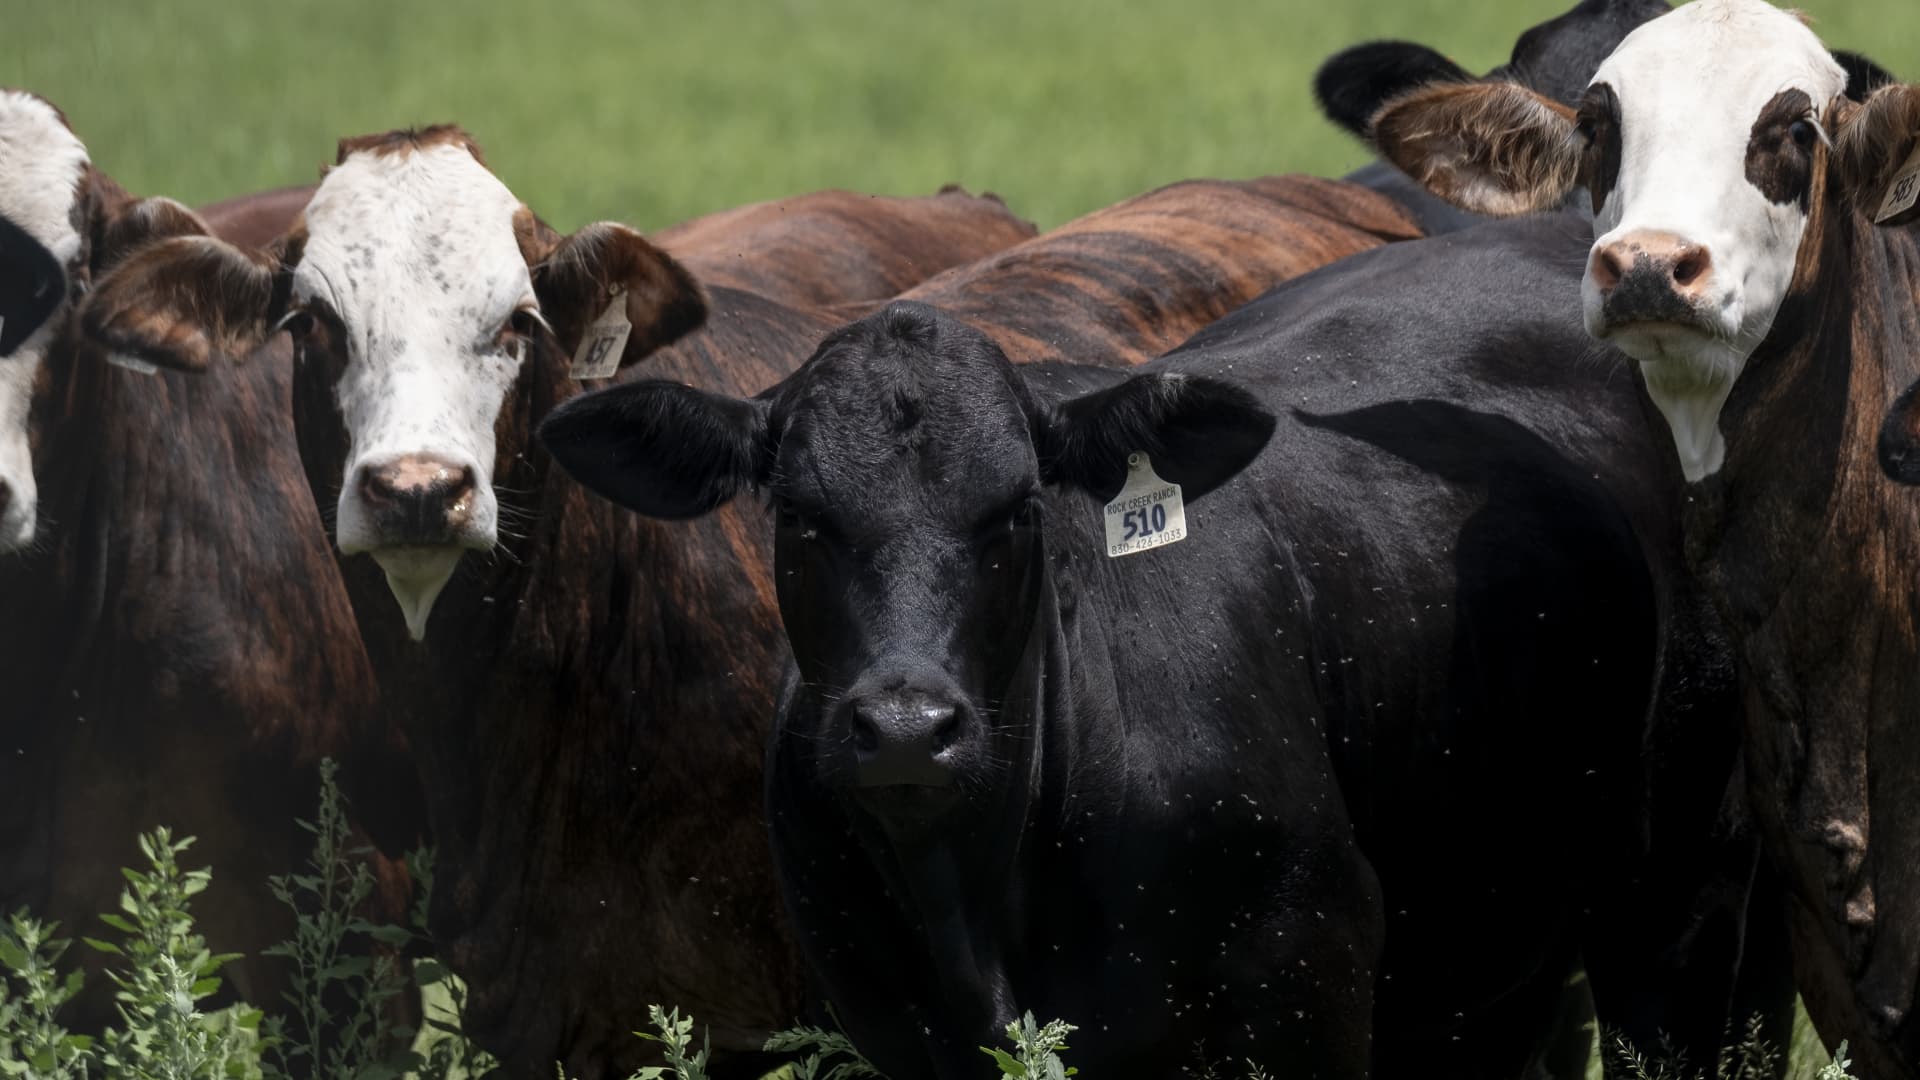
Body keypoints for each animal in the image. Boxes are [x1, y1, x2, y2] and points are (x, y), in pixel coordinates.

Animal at [534, 262, 1758, 1077]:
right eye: (797, 515)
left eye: (1017, 510)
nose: (907, 727)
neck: (984, 902)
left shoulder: (1308, 983)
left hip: (1684, 909)